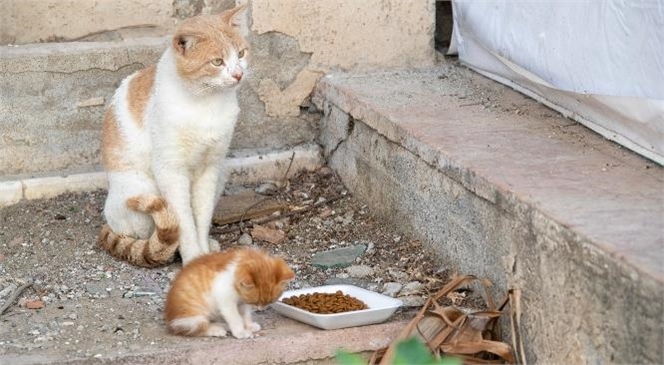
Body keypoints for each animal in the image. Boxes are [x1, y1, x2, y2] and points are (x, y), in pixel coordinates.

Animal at [99, 2, 252, 264]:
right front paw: (192, 257)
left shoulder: (210, 169)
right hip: (142, 190)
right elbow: (183, 222)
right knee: (148, 234)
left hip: (221, 176)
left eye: (241, 54)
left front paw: (203, 251)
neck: (205, 104)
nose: (238, 74)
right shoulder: (171, 172)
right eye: (217, 62)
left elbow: (201, 219)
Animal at [163, 247, 294, 338]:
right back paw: (216, 329)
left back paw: (223, 325)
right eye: (256, 302)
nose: (261, 309)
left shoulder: (243, 301)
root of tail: (170, 321)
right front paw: (240, 331)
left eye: (270, 301)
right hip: (192, 318)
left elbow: (245, 314)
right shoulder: (225, 300)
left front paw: (249, 325)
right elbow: (235, 317)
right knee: (194, 328)